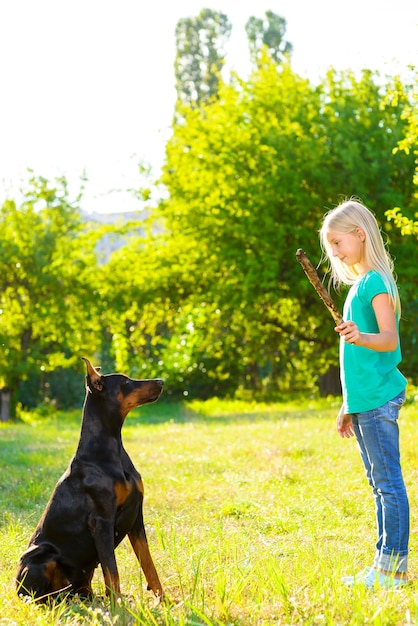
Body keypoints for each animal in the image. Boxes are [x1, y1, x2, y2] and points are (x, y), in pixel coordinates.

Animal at [16, 358, 164, 604]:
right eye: (125, 382)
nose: (161, 381)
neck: (111, 448)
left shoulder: (136, 516)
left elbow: (149, 564)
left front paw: (165, 601)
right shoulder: (101, 521)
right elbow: (112, 570)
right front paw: (118, 607)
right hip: (41, 555)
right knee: (35, 596)